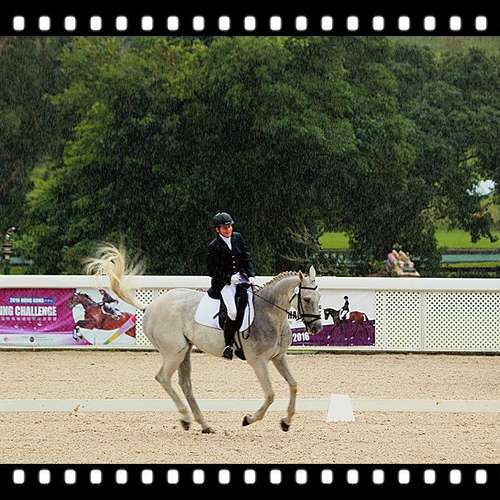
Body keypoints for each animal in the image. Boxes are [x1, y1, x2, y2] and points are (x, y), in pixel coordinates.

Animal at [84, 244, 322, 433]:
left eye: (319, 298)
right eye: (307, 299)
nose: (317, 328)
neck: (270, 313)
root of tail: (150, 307)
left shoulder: (278, 358)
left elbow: (294, 385)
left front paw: (286, 422)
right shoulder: (258, 361)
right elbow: (271, 394)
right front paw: (248, 419)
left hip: (185, 350)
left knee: (185, 384)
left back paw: (203, 424)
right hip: (174, 351)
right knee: (163, 378)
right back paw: (186, 418)